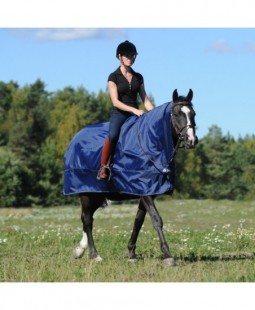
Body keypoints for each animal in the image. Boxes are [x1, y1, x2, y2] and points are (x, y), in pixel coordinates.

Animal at [65, 88, 197, 266]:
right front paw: (167, 255)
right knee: (87, 220)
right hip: (86, 193)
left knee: (87, 218)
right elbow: (156, 220)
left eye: (193, 114)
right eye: (176, 114)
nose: (192, 140)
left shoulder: (147, 192)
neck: (151, 143)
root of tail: (75, 139)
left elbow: (138, 221)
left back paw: (80, 249)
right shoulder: (145, 192)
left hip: (97, 195)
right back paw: (94, 254)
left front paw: (132, 252)